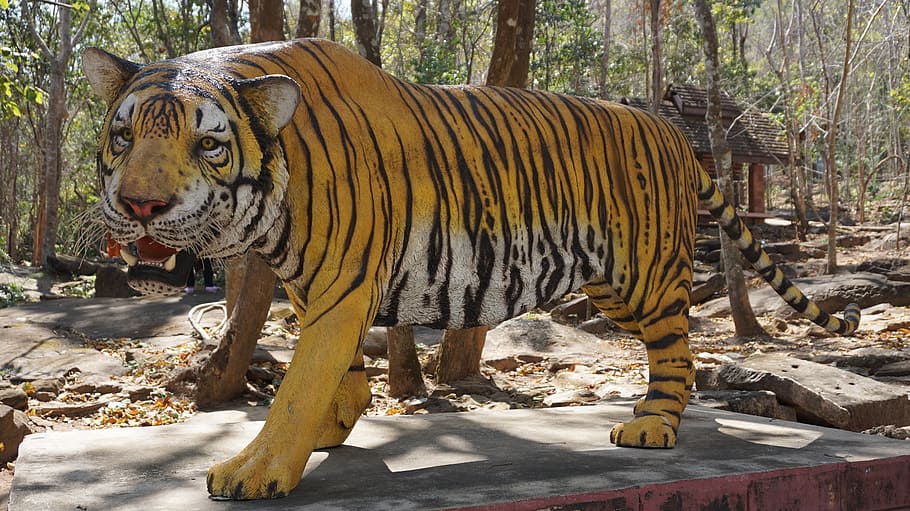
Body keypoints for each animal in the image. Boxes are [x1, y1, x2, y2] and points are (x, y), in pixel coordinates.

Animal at [82, 38, 860, 500]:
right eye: (122, 136)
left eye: (208, 145)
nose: (140, 206)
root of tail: (672, 131)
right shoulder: (320, 290)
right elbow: (334, 373)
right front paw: (333, 426)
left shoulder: (341, 286)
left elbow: (296, 388)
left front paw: (259, 468)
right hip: (610, 282)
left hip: (643, 273)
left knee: (678, 351)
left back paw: (653, 425)